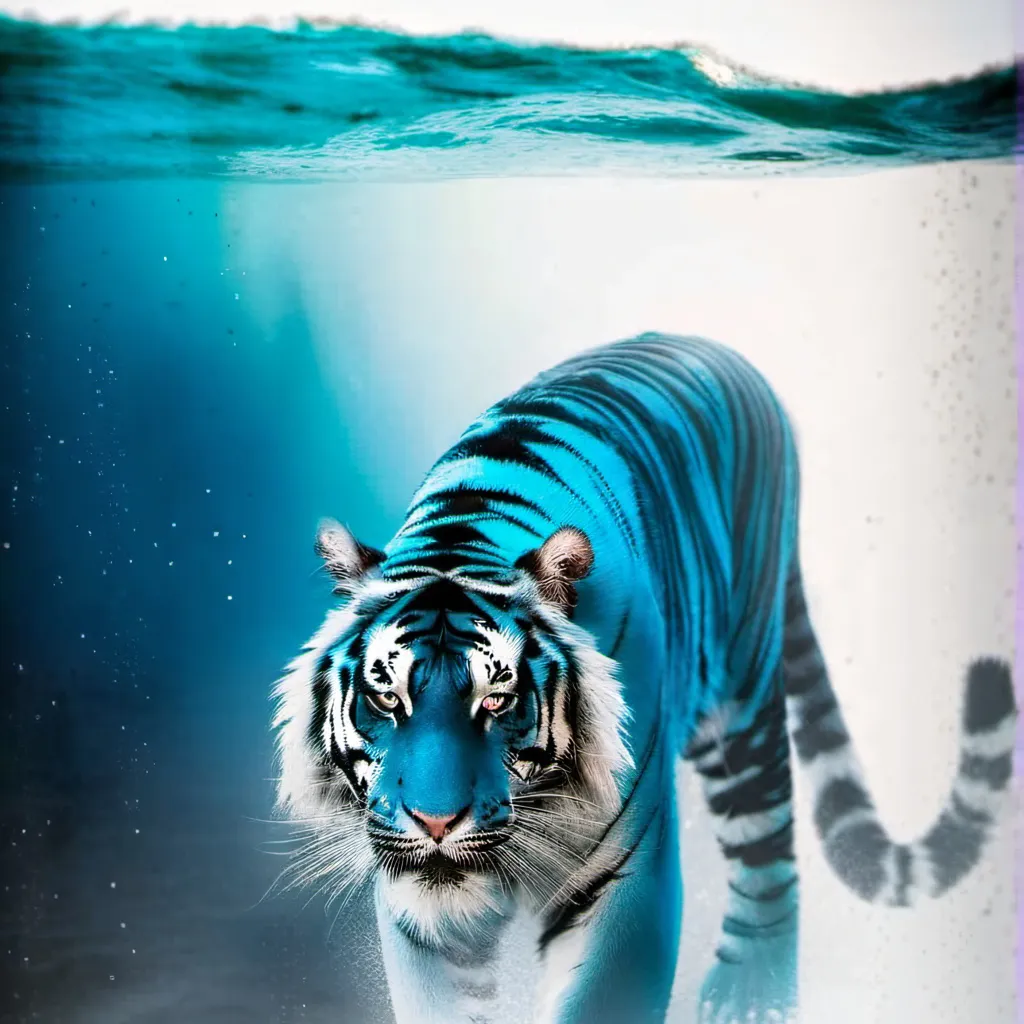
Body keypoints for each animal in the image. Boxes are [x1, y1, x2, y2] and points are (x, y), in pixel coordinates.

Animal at [271, 332, 1016, 1024]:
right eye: (386, 695)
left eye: (499, 699)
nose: (434, 822)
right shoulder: (413, 898)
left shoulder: (624, 875)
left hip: (741, 694)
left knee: (768, 839)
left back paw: (752, 995)